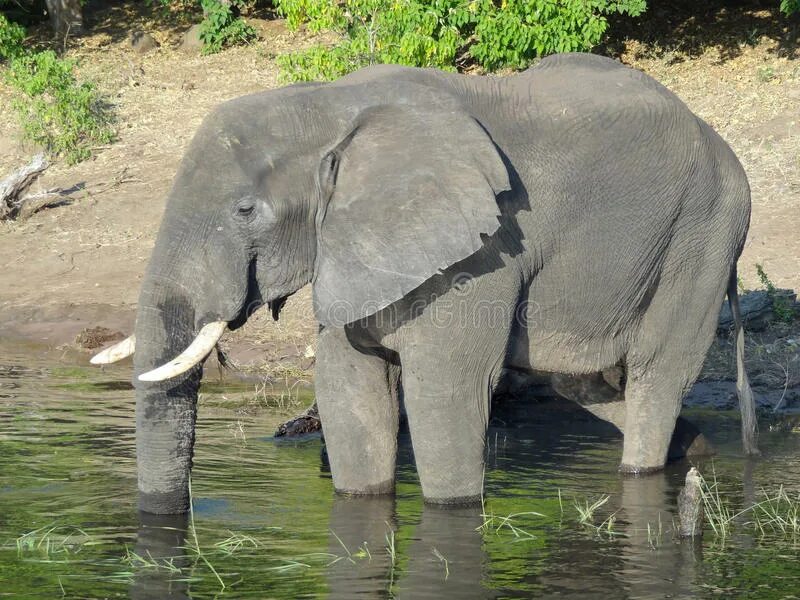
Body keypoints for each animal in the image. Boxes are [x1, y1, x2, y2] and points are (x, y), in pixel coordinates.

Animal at [92, 54, 756, 516]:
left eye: (245, 211)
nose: (187, 515)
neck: (331, 104)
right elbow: (351, 389)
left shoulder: (485, 251)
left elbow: (444, 391)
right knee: (582, 383)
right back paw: (695, 449)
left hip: (703, 234)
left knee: (656, 375)